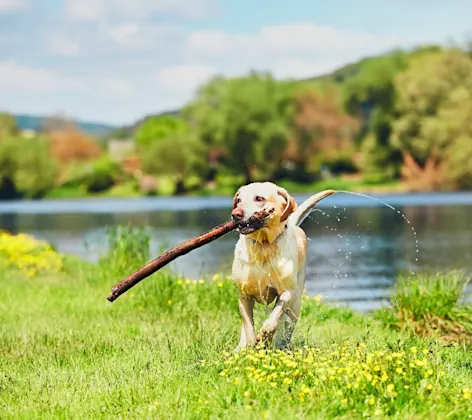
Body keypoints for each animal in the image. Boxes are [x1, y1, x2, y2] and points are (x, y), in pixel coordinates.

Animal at [230, 182, 334, 350]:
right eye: (238, 200)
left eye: (259, 198)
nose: (235, 214)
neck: (263, 245)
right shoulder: (243, 295)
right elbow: (248, 326)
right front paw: (250, 345)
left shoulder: (287, 293)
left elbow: (274, 319)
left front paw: (264, 337)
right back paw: (240, 347)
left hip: (296, 304)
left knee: (287, 326)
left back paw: (282, 345)